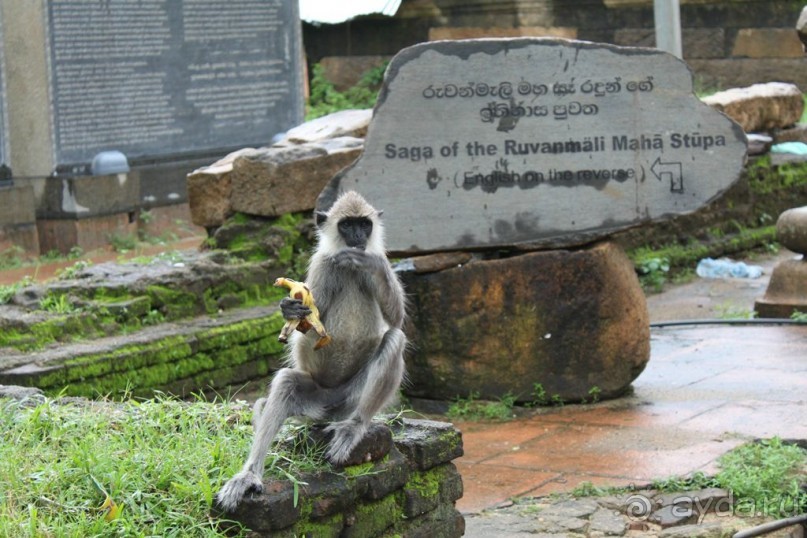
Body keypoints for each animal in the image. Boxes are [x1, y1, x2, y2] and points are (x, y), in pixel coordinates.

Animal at [215, 191, 408, 508]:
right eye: (347, 225)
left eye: (364, 225)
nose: (358, 237)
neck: (349, 268)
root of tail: (331, 405)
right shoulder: (322, 265)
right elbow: (303, 339)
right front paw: (289, 308)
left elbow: (397, 319)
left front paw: (370, 263)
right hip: (313, 401)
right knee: (286, 381)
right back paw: (250, 475)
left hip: (352, 397)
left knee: (394, 338)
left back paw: (355, 426)